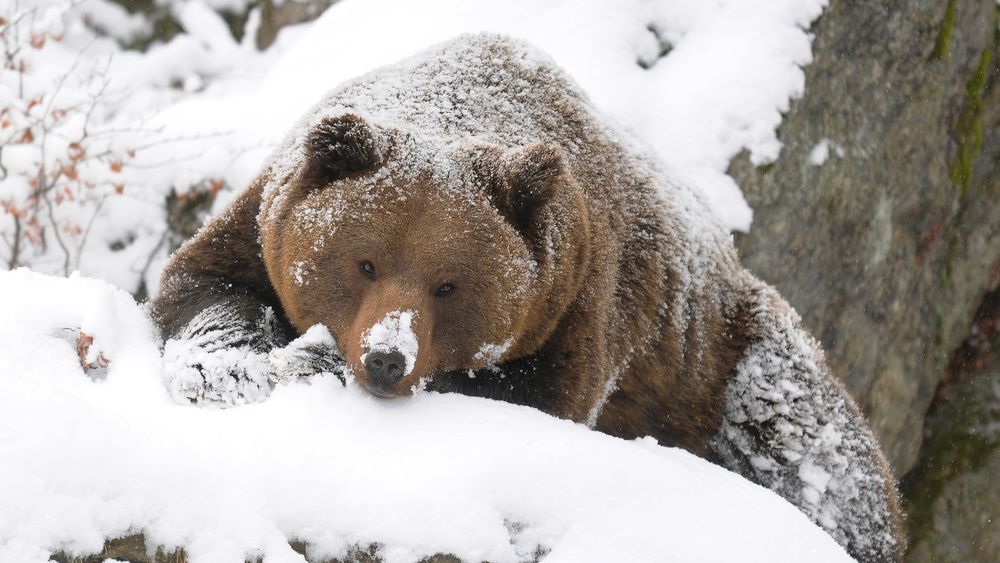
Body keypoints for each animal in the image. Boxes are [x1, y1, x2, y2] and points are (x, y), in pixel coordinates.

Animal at [151, 34, 905, 561]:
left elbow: (529, 396)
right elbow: (204, 284)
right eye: (364, 261)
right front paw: (227, 367)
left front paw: (312, 360)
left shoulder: (579, 301)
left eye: (449, 283)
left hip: (725, 361)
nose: (387, 358)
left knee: (818, 455)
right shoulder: (263, 220)